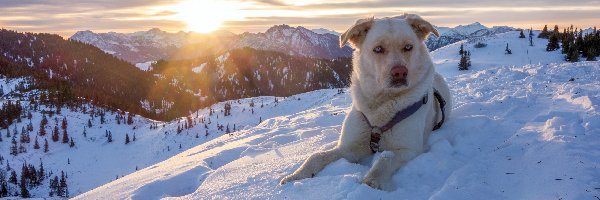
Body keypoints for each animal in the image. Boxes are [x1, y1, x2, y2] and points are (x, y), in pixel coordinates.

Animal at [278, 14, 452, 189]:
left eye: (408, 47)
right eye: (378, 49)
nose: (400, 72)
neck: (381, 105)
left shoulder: (408, 149)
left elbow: (385, 158)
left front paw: (372, 182)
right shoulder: (350, 147)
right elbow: (316, 156)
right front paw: (296, 176)